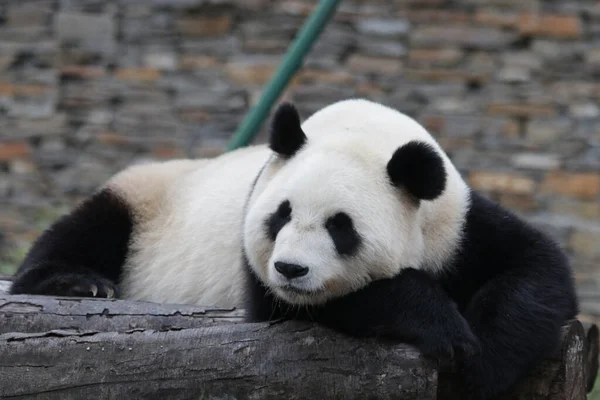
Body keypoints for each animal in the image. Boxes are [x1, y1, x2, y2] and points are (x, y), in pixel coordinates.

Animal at [11, 98, 580, 398]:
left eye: (341, 227)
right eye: (280, 215)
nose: (290, 268)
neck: (364, 130)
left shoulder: (455, 222)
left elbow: (539, 270)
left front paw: (484, 362)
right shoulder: (261, 277)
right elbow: (310, 308)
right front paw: (442, 325)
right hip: (148, 195)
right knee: (84, 231)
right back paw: (78, 282)